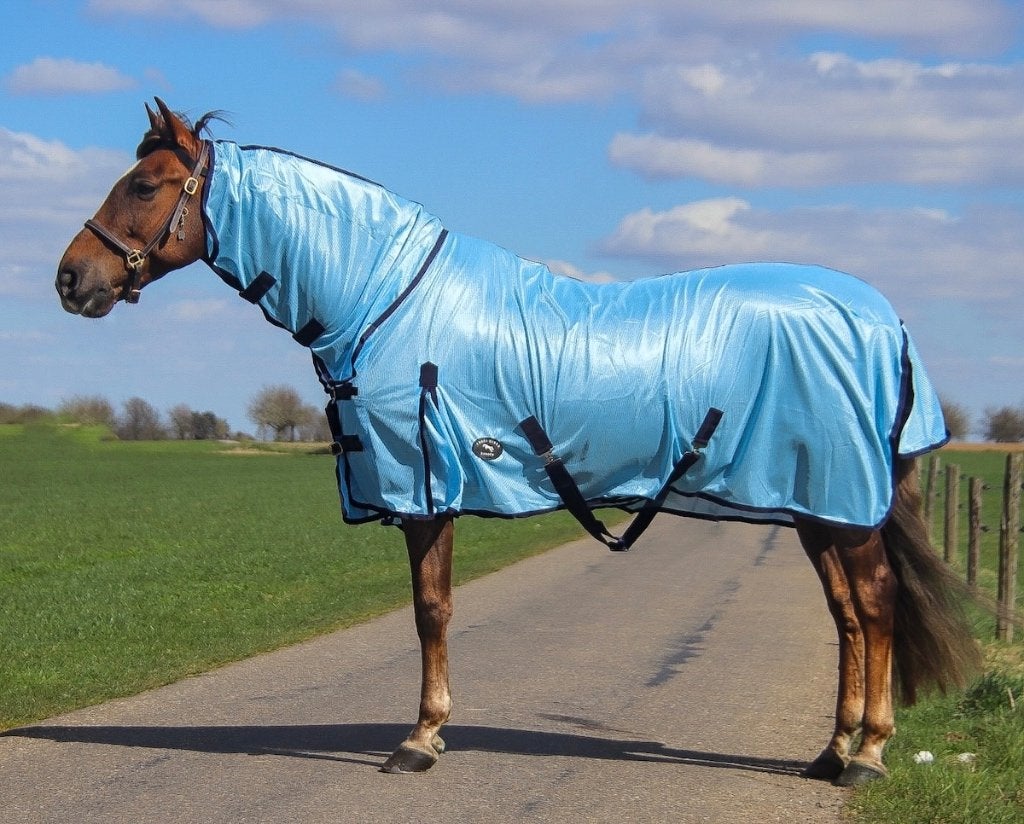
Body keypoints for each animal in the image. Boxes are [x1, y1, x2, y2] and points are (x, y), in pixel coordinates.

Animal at [56, 99, 980, 785]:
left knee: (875, 606)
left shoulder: (426, 490)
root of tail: (883, 319)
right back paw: (830, 751)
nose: (70, 279)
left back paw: (867, 755)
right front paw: (428, 731)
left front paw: (420, 739)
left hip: (841, 503)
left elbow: (430, 611)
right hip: (817, 505)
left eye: (144, 184)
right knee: (848, 617)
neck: (384, 297)